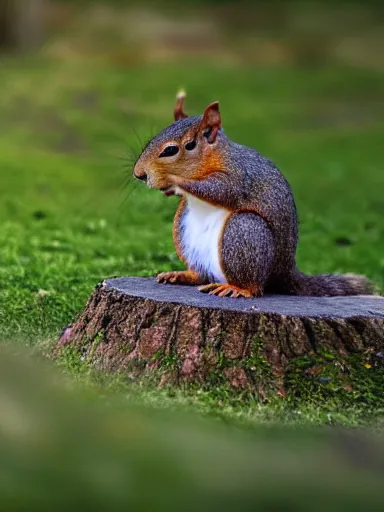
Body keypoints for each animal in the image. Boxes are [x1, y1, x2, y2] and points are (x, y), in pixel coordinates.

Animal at [134, 93, 374, 300]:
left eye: (171, 150)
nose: (139, 174)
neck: (214, 156)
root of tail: (285, 272)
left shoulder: (238, 176)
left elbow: (222, 190)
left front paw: (174, 180)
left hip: (245, 230)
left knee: (256, 287)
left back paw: (239, 289)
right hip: (183, 230)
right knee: (201, 275)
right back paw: (182, 275)